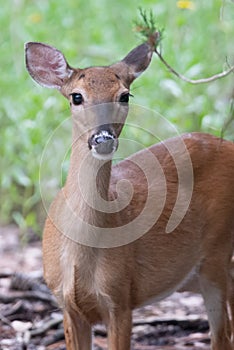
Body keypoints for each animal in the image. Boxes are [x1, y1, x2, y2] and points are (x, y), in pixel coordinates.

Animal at [25, 36, 234, 350]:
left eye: (124, 95)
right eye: (76, 97)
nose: (103, 137)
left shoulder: (120, 297)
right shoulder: (66, 303)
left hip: (217, 254)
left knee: (222, 335)